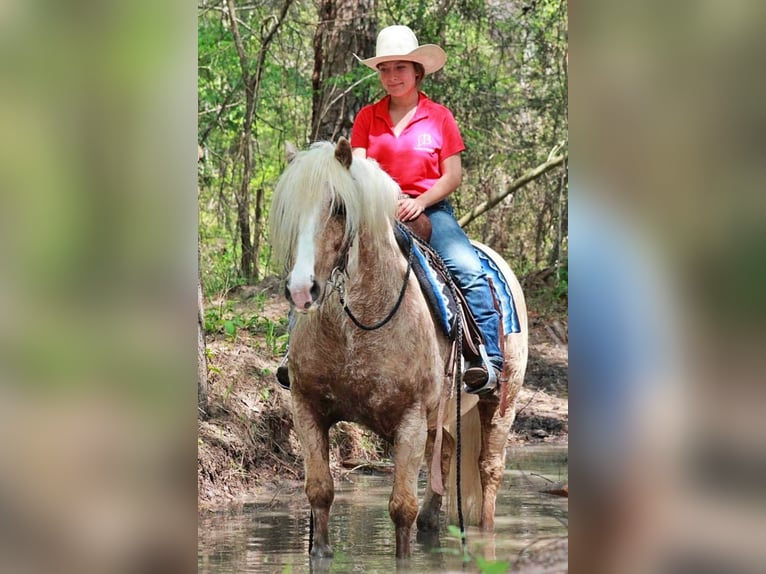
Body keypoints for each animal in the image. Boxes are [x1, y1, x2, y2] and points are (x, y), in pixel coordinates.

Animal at [268, 140, 528, 564]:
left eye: (339, 207)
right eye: (289, 210)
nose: (302, 290)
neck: (356, 327)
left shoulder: (410, 421)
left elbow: (401, 508)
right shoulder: (307, 409)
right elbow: (320, 493)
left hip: (501, 405)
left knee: (488, 470)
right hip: (444, 416)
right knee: (446, 454)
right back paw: (433, 522)